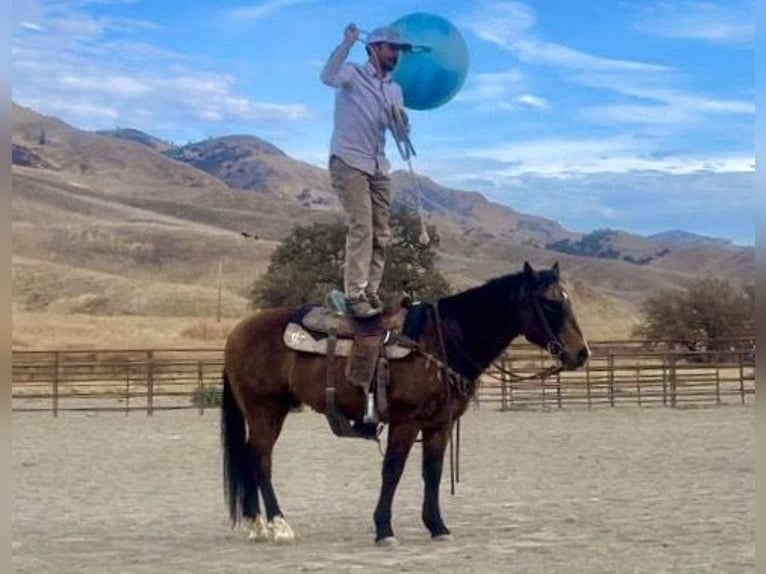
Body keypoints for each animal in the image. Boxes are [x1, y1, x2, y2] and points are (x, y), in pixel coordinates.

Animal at [222, 264, 592, 548]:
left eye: (568, 301)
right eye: (548, 302)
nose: (581, 353)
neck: (441, 341)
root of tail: (237, 332)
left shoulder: (439, 424)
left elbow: (433, 472)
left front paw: (438, 526)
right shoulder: (406, 421)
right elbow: (393, 471)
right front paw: (384, 529)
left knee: (249, 457)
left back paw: (257, 524)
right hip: (265, 410)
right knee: (261, 461)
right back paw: (280, 526)